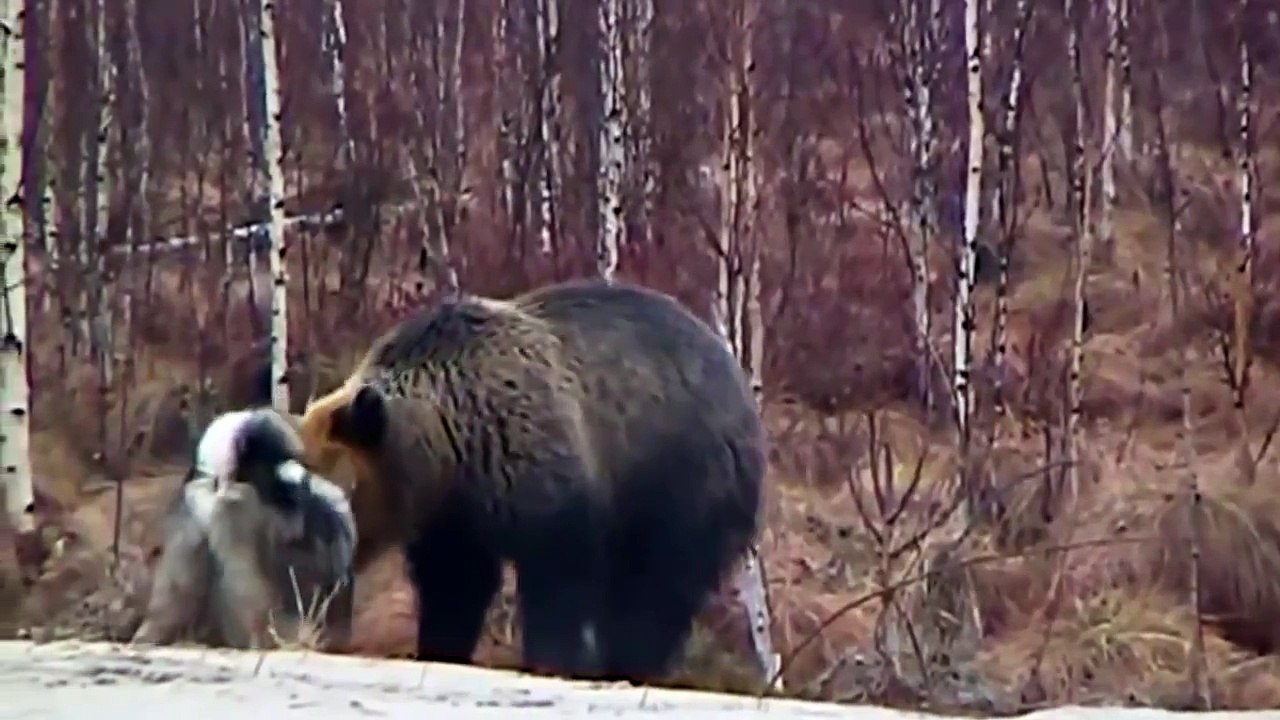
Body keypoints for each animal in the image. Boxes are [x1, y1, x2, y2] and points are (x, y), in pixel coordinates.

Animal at [297, 278, 766, 683]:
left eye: (330, 494)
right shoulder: (451, 518)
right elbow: (453, 584)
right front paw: (439, 646)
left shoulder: (540, 475)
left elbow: (558, 578)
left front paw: (549, 658)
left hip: (678, 481)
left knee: (655, 585)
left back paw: (632, 663)